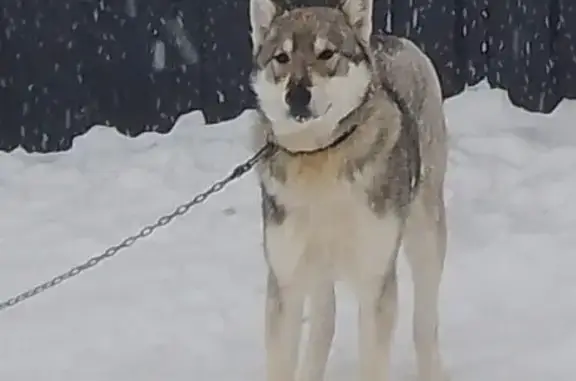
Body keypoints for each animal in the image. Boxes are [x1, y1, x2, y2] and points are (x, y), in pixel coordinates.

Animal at [248, 0, 450, 380]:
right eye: (281, 57)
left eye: (326, 53)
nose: (297, 95)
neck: (319, 159)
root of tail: (389, 38)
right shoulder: (285, 279)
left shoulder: (375, 280)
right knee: (324, 322)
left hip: (426, 233)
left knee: (425, 322)